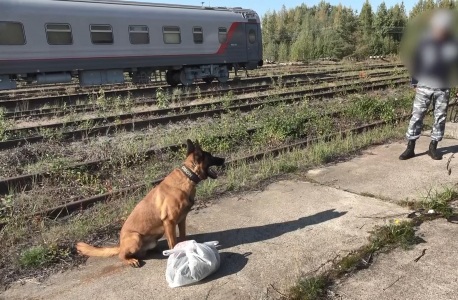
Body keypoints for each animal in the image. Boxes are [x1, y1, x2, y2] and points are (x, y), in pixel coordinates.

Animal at [77, 140, 225, 268]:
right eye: (211, 156)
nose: (224, 159)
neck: (187, 176)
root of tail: (120, 245)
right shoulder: (169, 222)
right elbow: (173, 242)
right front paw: (175, 254)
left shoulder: (182, 220)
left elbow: (182, 237)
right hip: (136, 237)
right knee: (121, 255)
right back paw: (130, 260)